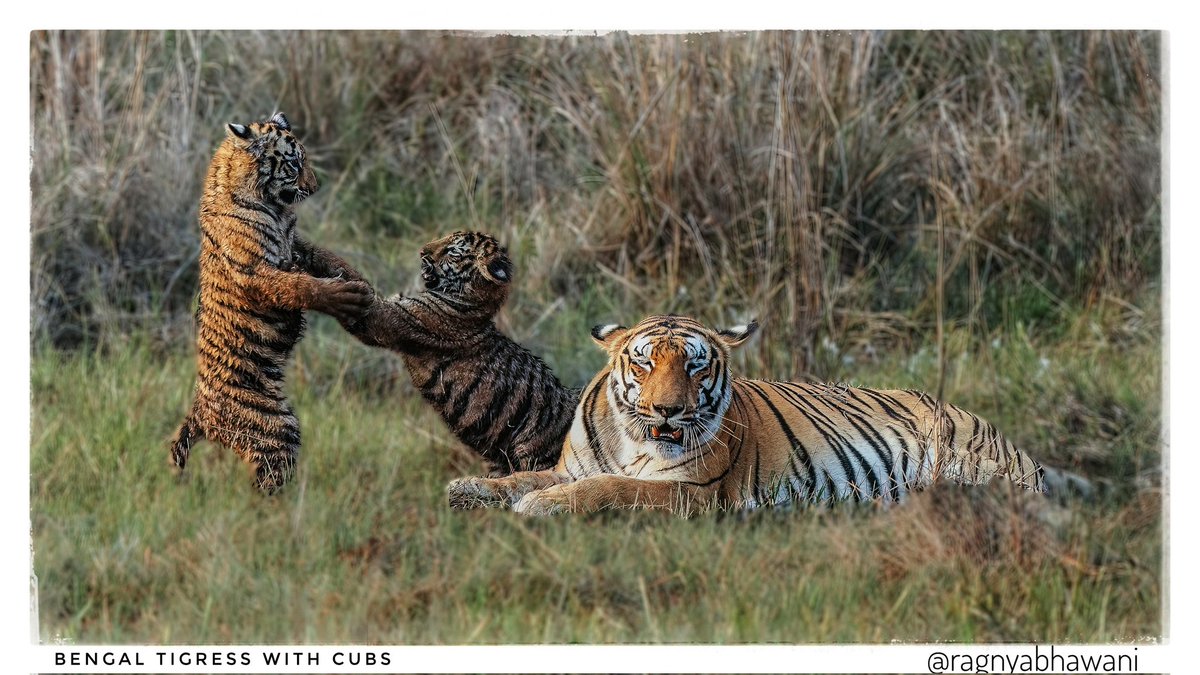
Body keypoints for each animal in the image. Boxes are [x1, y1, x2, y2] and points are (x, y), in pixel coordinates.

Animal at [169, 112, 372, 494]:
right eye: (294, 164)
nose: (316, 186)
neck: (272, 206)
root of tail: (199, 412)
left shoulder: (296, 243)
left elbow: (324, 256)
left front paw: (359, 279)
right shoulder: (257, 272)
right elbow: (301, 285)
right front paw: (344, 297)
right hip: (277, 428)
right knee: (265, 483)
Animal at [447, 314, 1089, 516]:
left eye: (696, 367)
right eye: (645, 362)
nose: (667, 409)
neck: (632, 439)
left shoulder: (692, 491)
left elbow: (606, 488)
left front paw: (540, 506)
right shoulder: (569, 465)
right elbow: (524, 477)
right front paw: (469, 488)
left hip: (969, 461)